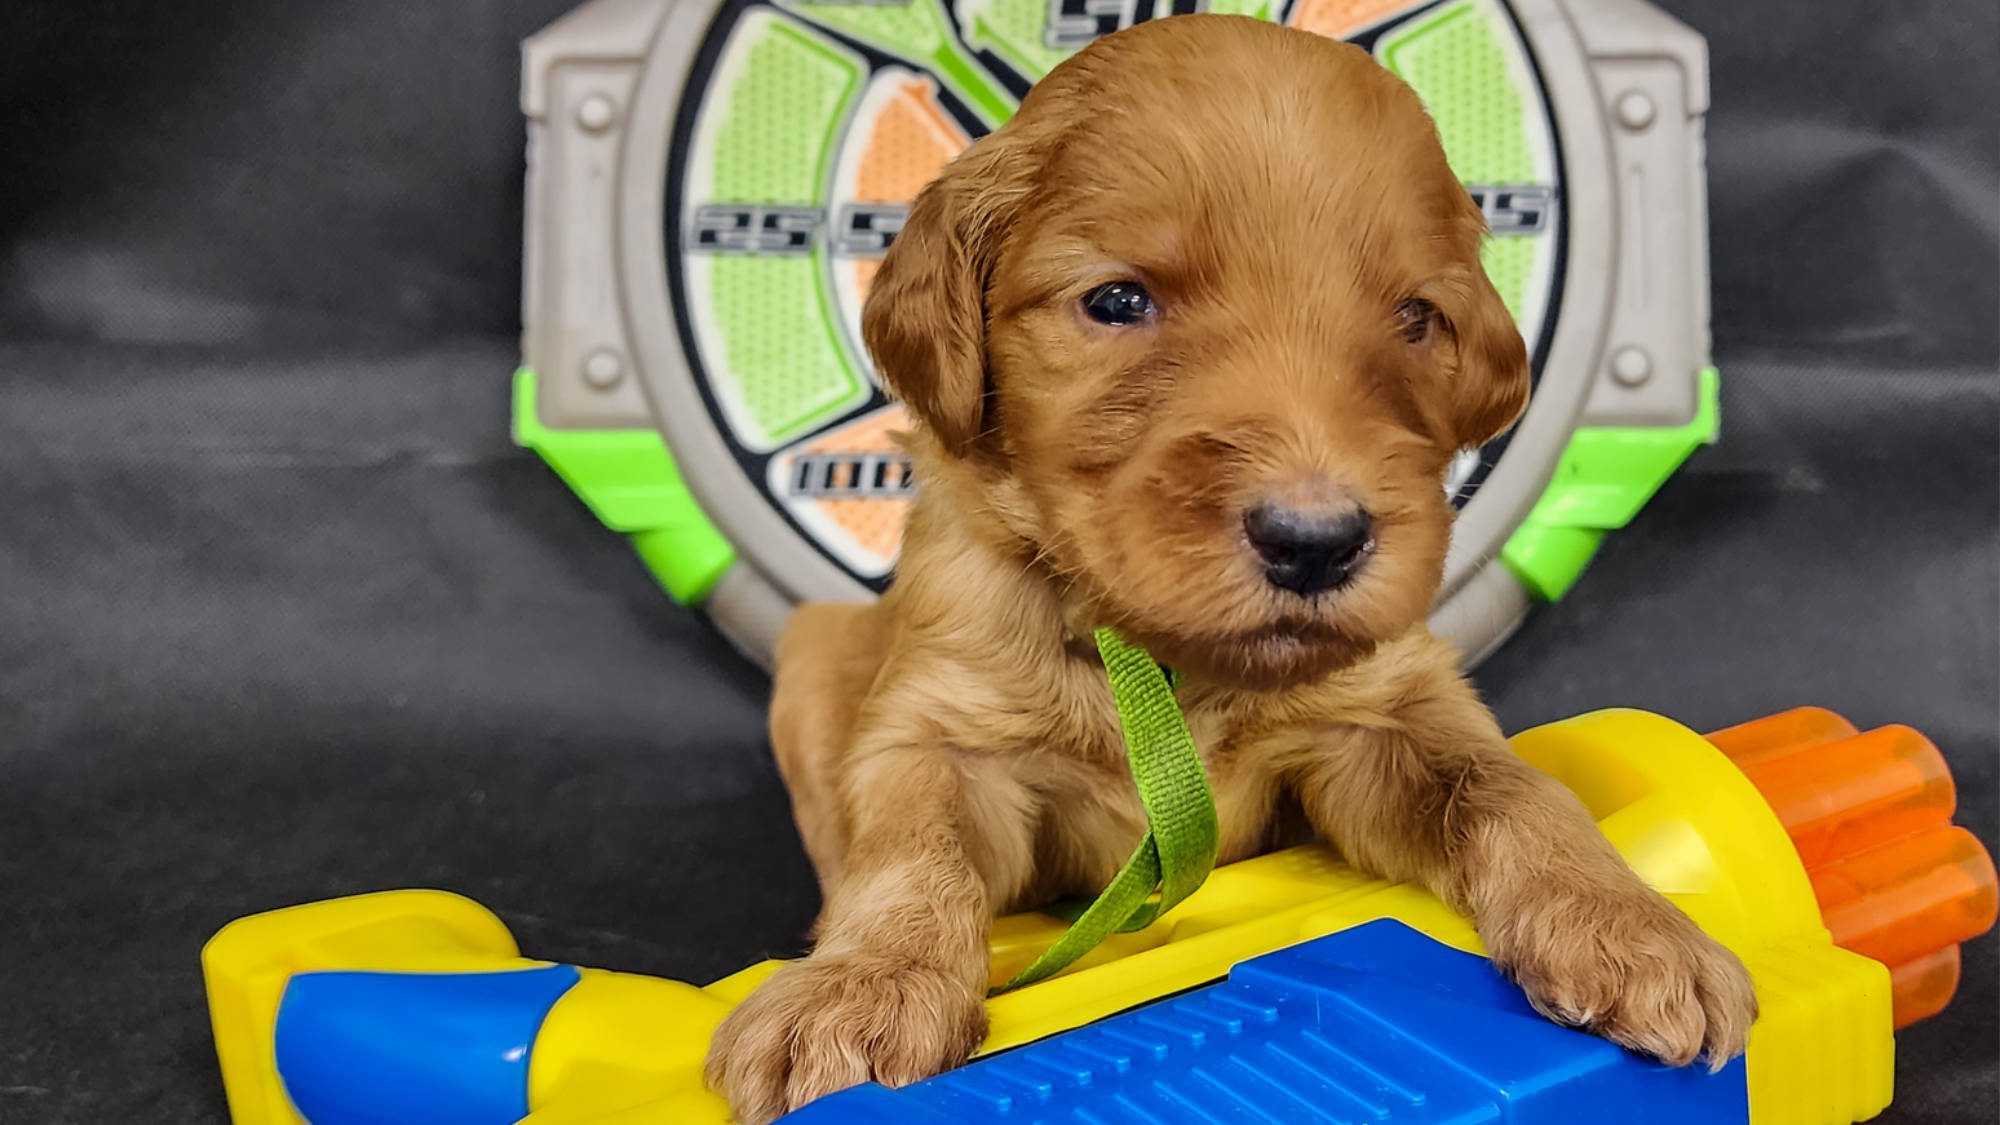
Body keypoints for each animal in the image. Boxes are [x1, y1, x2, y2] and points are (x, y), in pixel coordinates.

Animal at [700, 13, 1752, 1112]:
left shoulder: (1386, 711)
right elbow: (912, 847)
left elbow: (1512, 787)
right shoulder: (942, 729)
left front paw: (1626, 925)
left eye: (1415, 317)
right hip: (817, 649)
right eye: (1118, 300)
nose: (1315, 541)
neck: (1162, 661)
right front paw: (863, 984)